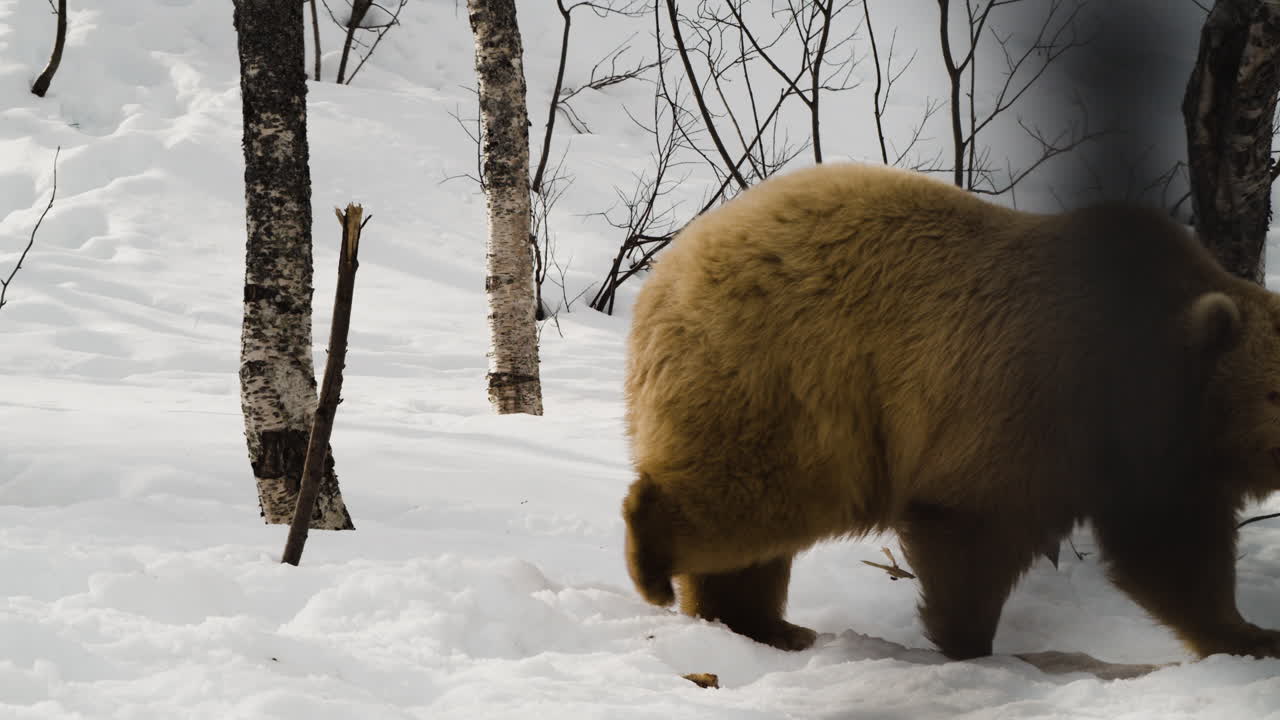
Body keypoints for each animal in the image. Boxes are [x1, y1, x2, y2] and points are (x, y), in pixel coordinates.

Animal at [621, 162, 1280, 660]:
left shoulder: (1164, 456)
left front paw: (1250, 634)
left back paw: (763, 625)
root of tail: (670, 266)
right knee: (751, 493)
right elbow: (975, 518)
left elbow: (1175, 550)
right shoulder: (1041, 394)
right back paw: (655, 565)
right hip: (782, 375)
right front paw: (971, 643)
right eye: (1275, 392)